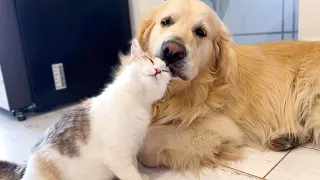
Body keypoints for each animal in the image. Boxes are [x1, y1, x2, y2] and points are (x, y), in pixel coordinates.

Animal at [0, 39, 171, 180]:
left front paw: (142, 175)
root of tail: (25, 167)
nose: (157, 70)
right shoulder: (117, 156)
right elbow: (131, 174)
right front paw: (139, 177)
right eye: (150, 61)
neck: (136, 101)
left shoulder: (130, 150)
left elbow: (135, 166)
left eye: (165, 71)